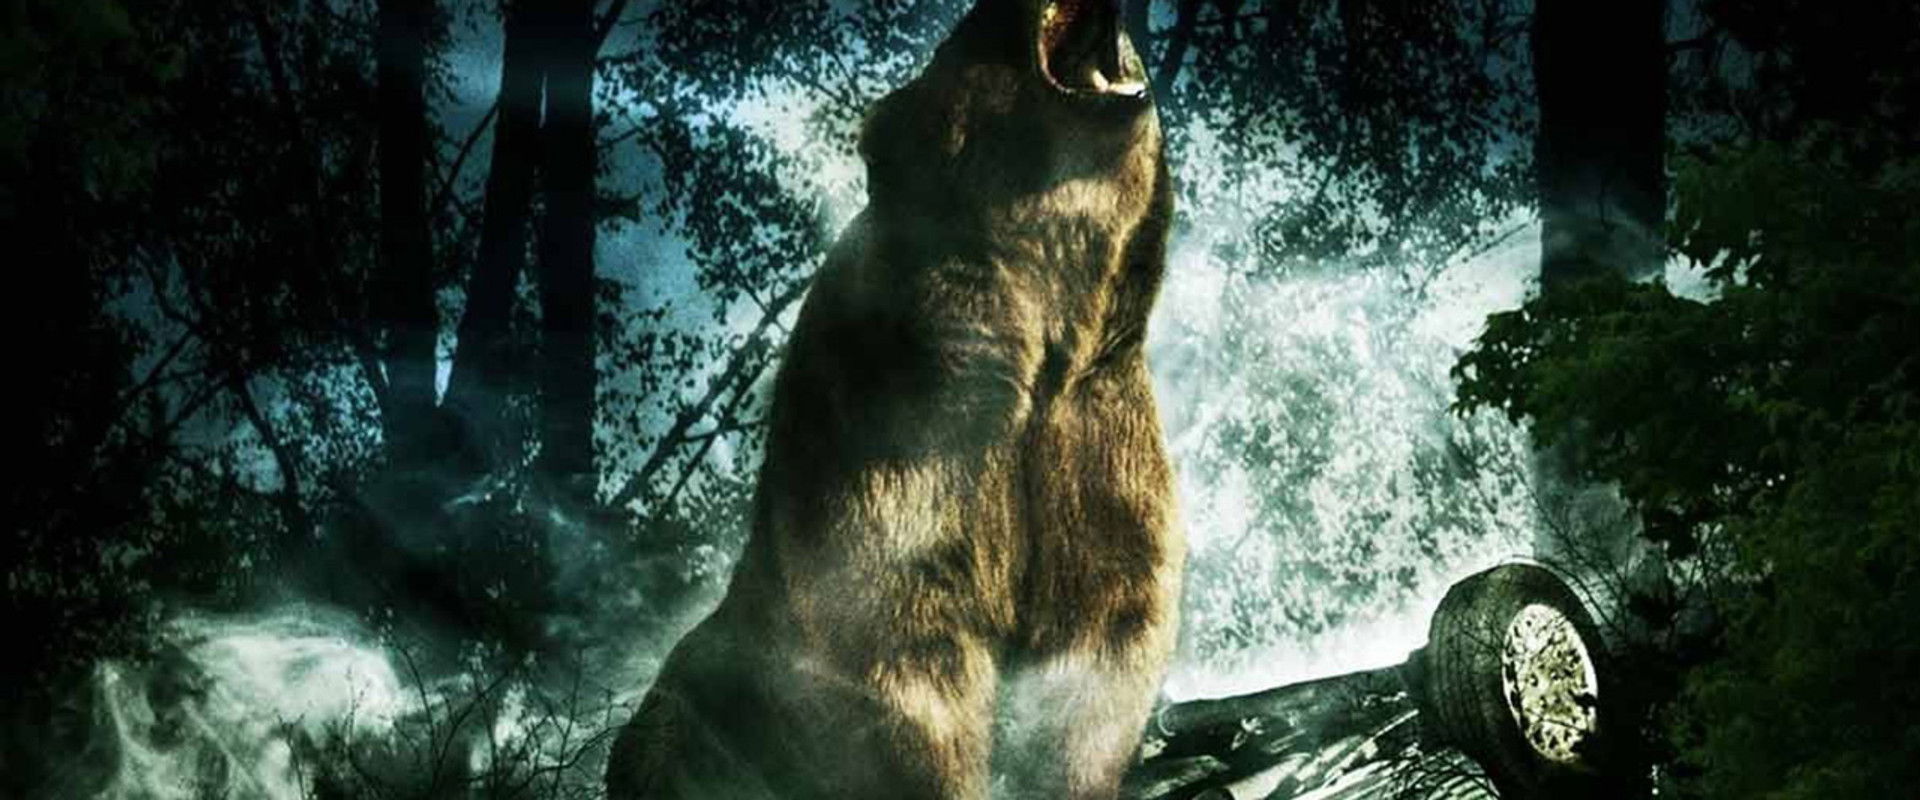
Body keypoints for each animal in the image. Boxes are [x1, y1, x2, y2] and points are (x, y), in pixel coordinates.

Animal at [606, 1, 1181, 797]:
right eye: (967, 30)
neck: (1042, 335)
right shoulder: (908, 437)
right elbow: (900, 647)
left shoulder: (1098, 438)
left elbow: (1104, 641)